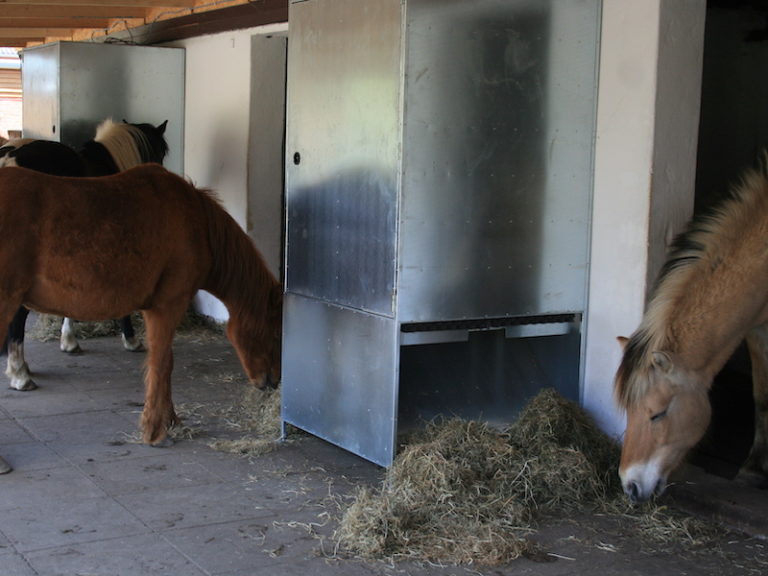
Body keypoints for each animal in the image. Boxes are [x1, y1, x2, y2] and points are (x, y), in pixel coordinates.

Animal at [0, 164, 282, 467]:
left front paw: (170, 420)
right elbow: (161, 364)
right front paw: (156, 431)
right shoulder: (167, 306)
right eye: (276, 330)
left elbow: (166, 363)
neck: (198, 223)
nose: (272, 381)